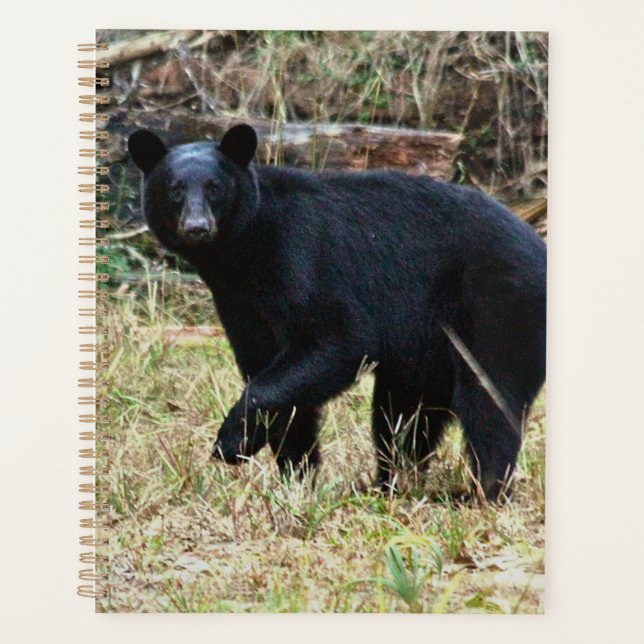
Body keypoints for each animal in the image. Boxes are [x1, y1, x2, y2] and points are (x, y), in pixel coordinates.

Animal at [128, 124, 546, 501]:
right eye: (175, 190)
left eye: (215, 188)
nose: (197, 228)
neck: (243, 257)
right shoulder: (240, 307)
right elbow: (276, 379)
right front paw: (296, 479)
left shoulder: (301, 259)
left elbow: (338, 340)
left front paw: (230, 442)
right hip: (429, 347)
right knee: (403, 415)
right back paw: (390, 486)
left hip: (497, 309)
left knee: (488, 402)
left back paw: (483, 493)